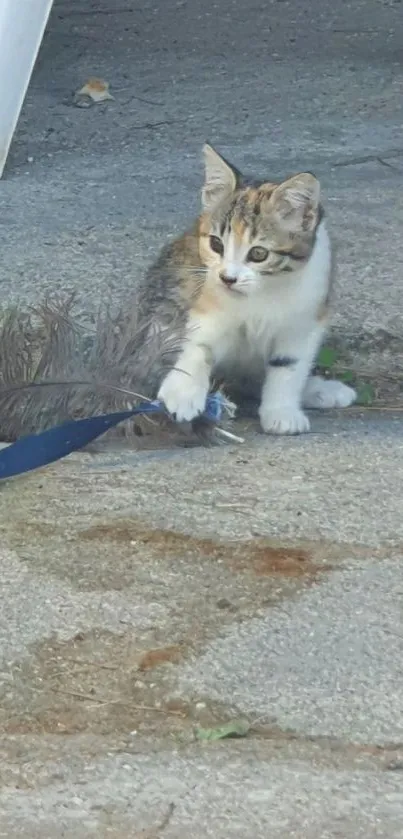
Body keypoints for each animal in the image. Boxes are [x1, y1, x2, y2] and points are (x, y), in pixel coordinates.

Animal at [143, 144, 356, 434]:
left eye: (258, 253)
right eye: (216, 244)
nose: (227, 278)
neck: (262, 291)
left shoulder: (306, 317)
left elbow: (289, 364)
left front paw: (282, 411)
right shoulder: (206, 299)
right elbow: (198, 344)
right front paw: (183, 391)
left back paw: (320, 390)